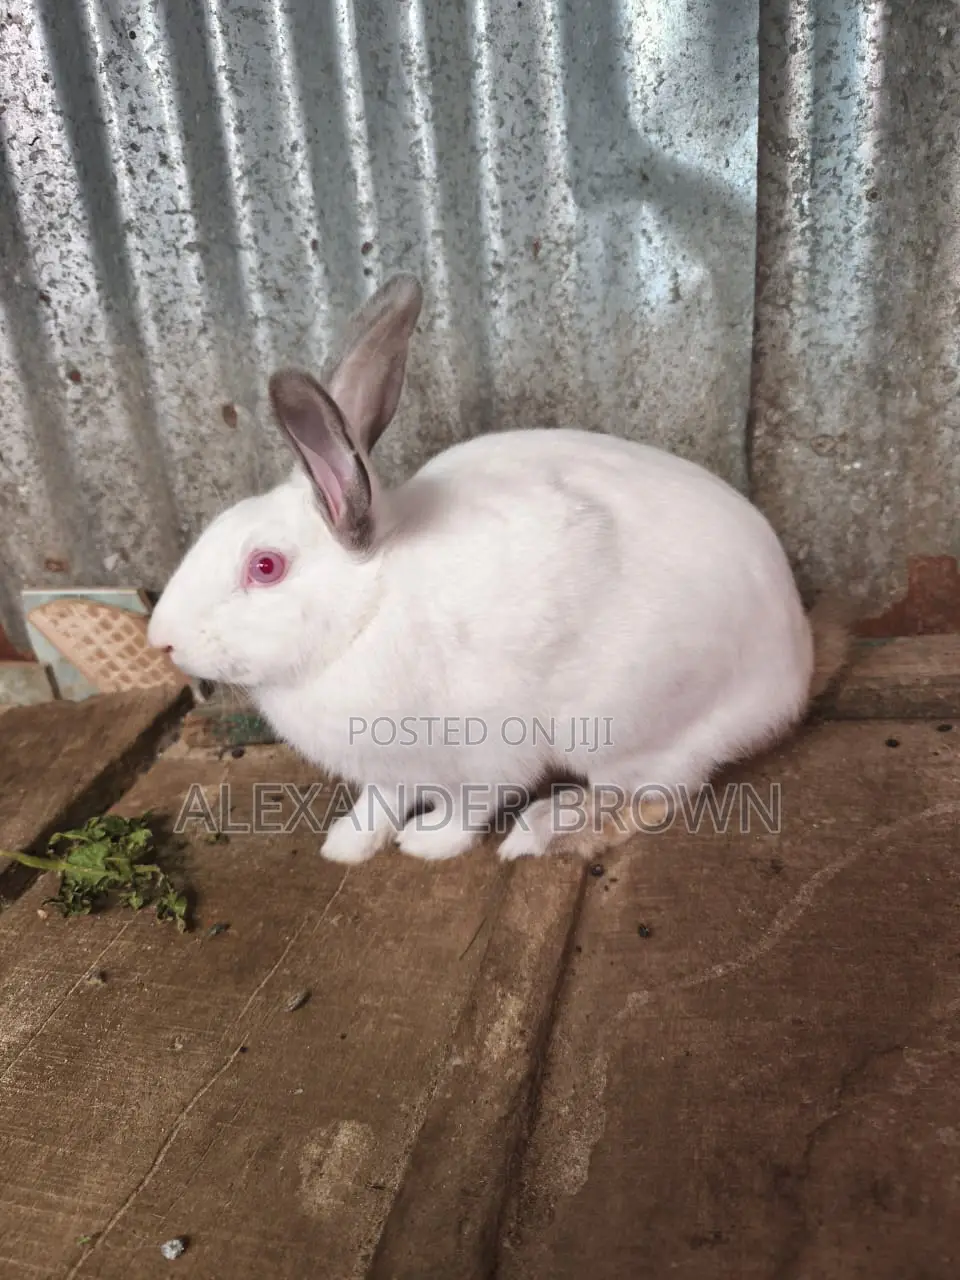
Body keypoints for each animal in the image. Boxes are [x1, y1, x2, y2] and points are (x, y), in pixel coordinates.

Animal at [147, 273, 849, 864]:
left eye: (265, 566)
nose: (161, 641)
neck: (367, 611)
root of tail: (792, 672)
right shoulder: (386, 770)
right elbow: (378, 802)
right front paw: (346, 844)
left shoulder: (481, 755)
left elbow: (469, 805)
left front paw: (427, 842)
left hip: (631, 729)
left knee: (651, 796)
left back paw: (544, 829)